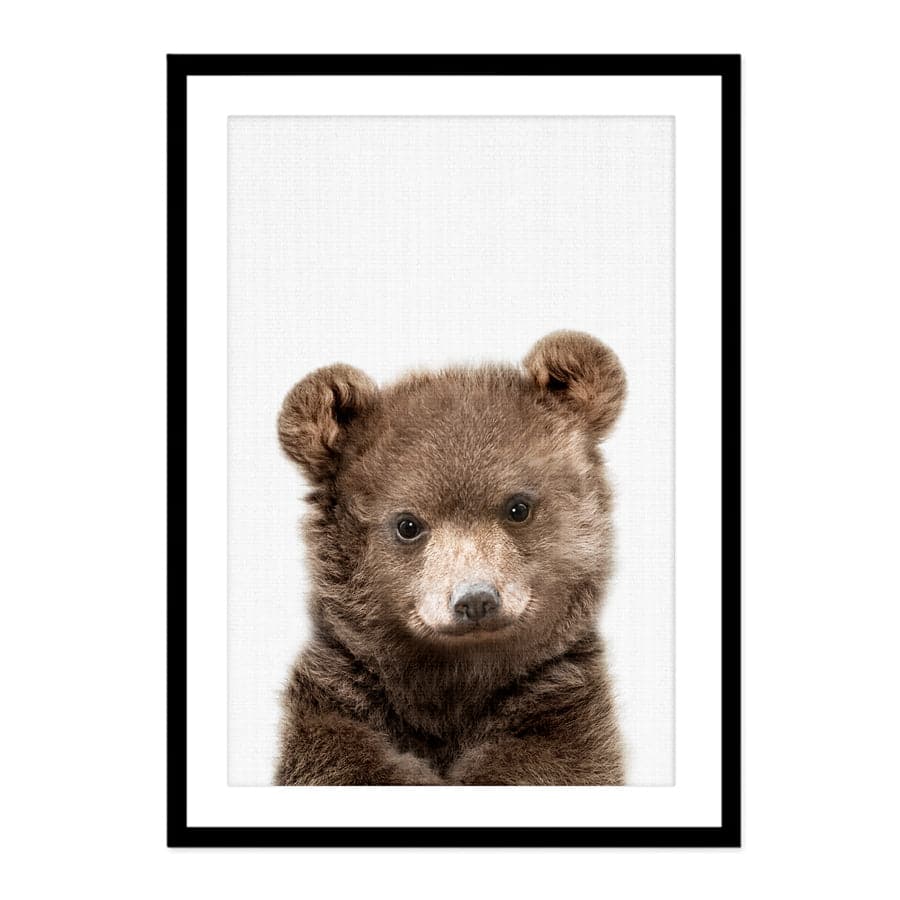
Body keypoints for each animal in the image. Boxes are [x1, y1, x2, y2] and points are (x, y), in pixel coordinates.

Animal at [274, 330, 626, 785]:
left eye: (518, 507)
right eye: (407, 524)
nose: (475, 599)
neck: (454, 682)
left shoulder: (561, 709)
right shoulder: (341, 703)